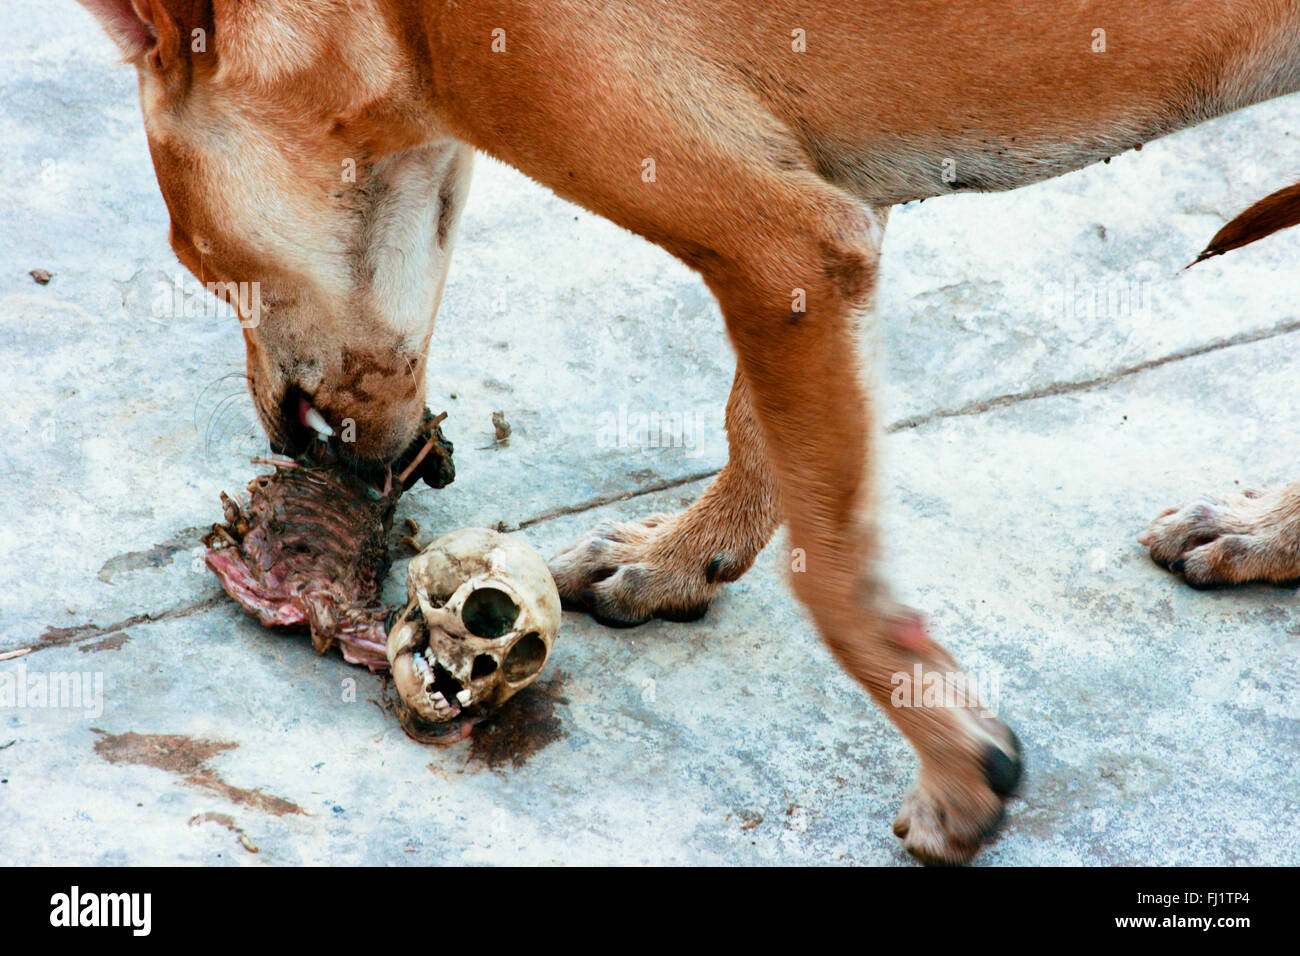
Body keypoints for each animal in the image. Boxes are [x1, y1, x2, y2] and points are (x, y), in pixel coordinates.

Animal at [76, 0, 1300, 863]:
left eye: (193, 255)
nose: (287, 447)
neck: (400, 20)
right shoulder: (812, 231)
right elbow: (756, 423)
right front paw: (684, 554)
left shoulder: (782, 240)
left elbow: (834, 567)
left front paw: (955, 767)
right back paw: (1267, 534)